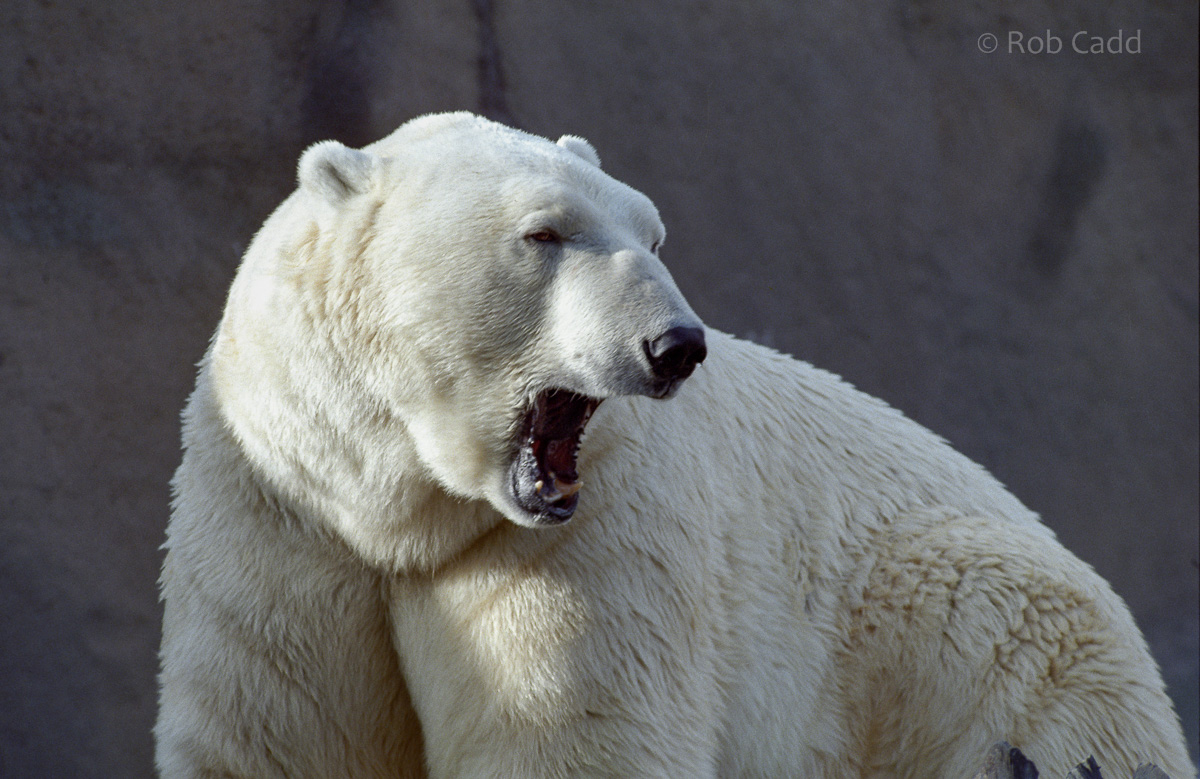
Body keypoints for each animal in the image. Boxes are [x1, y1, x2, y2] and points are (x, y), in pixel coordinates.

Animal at [156, 111, 1194, 778]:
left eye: (653, 233)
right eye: (545, 232)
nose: (676, 344)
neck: (403, 504)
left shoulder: (597, 529)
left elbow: (568, 734)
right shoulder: (283, 506)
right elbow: (276, 734)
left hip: (970, 630)